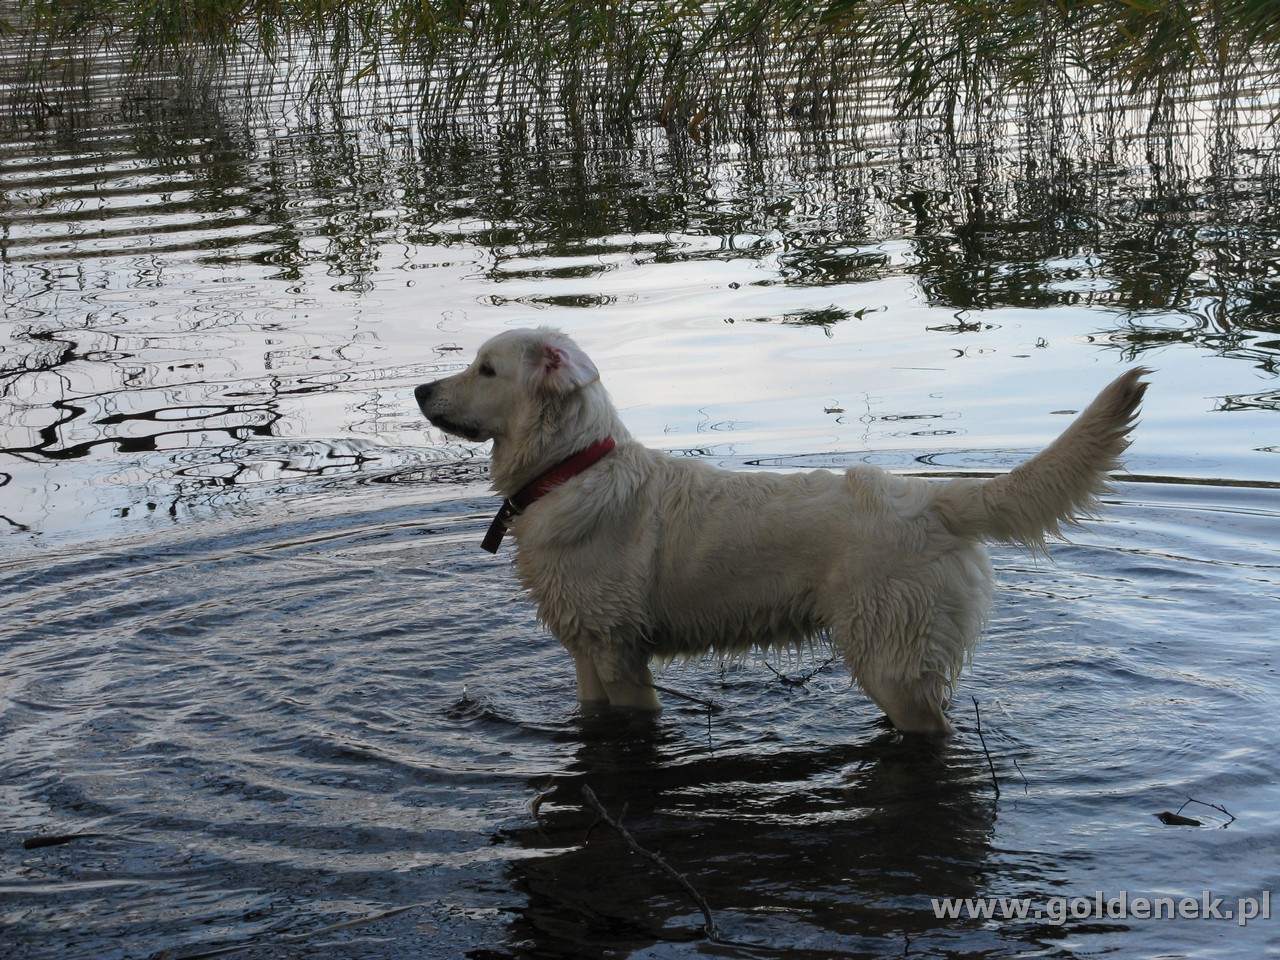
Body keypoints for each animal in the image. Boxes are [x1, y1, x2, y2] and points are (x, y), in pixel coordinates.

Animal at [415, 327, 1148, 734]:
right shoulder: (586, 649)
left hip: (890, 655)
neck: (566, 470)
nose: (420, 389)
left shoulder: (621, 656)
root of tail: (931, 500)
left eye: (485, 368)